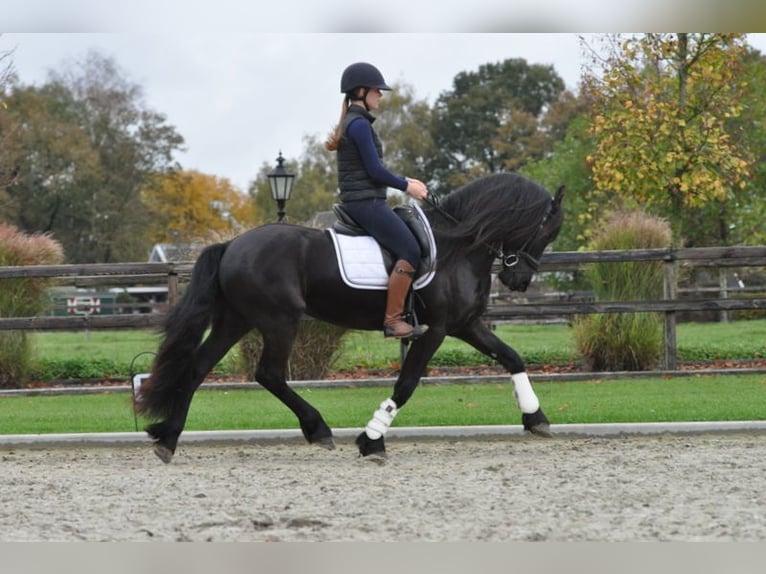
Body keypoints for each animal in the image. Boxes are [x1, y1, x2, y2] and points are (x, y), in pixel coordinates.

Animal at [136, 171, 564, 464]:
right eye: (548, 230)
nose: (518, 280)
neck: (458, 246)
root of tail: (231, 246)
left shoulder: (465, 325)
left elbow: (511, 357)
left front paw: (536, 418)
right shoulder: (438, 330)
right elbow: (407, 384)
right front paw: (372, 440)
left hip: (236, 320)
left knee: (198, 367)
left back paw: (168, 438)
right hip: (279, 321)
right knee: (269, 374)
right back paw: (318, 428)